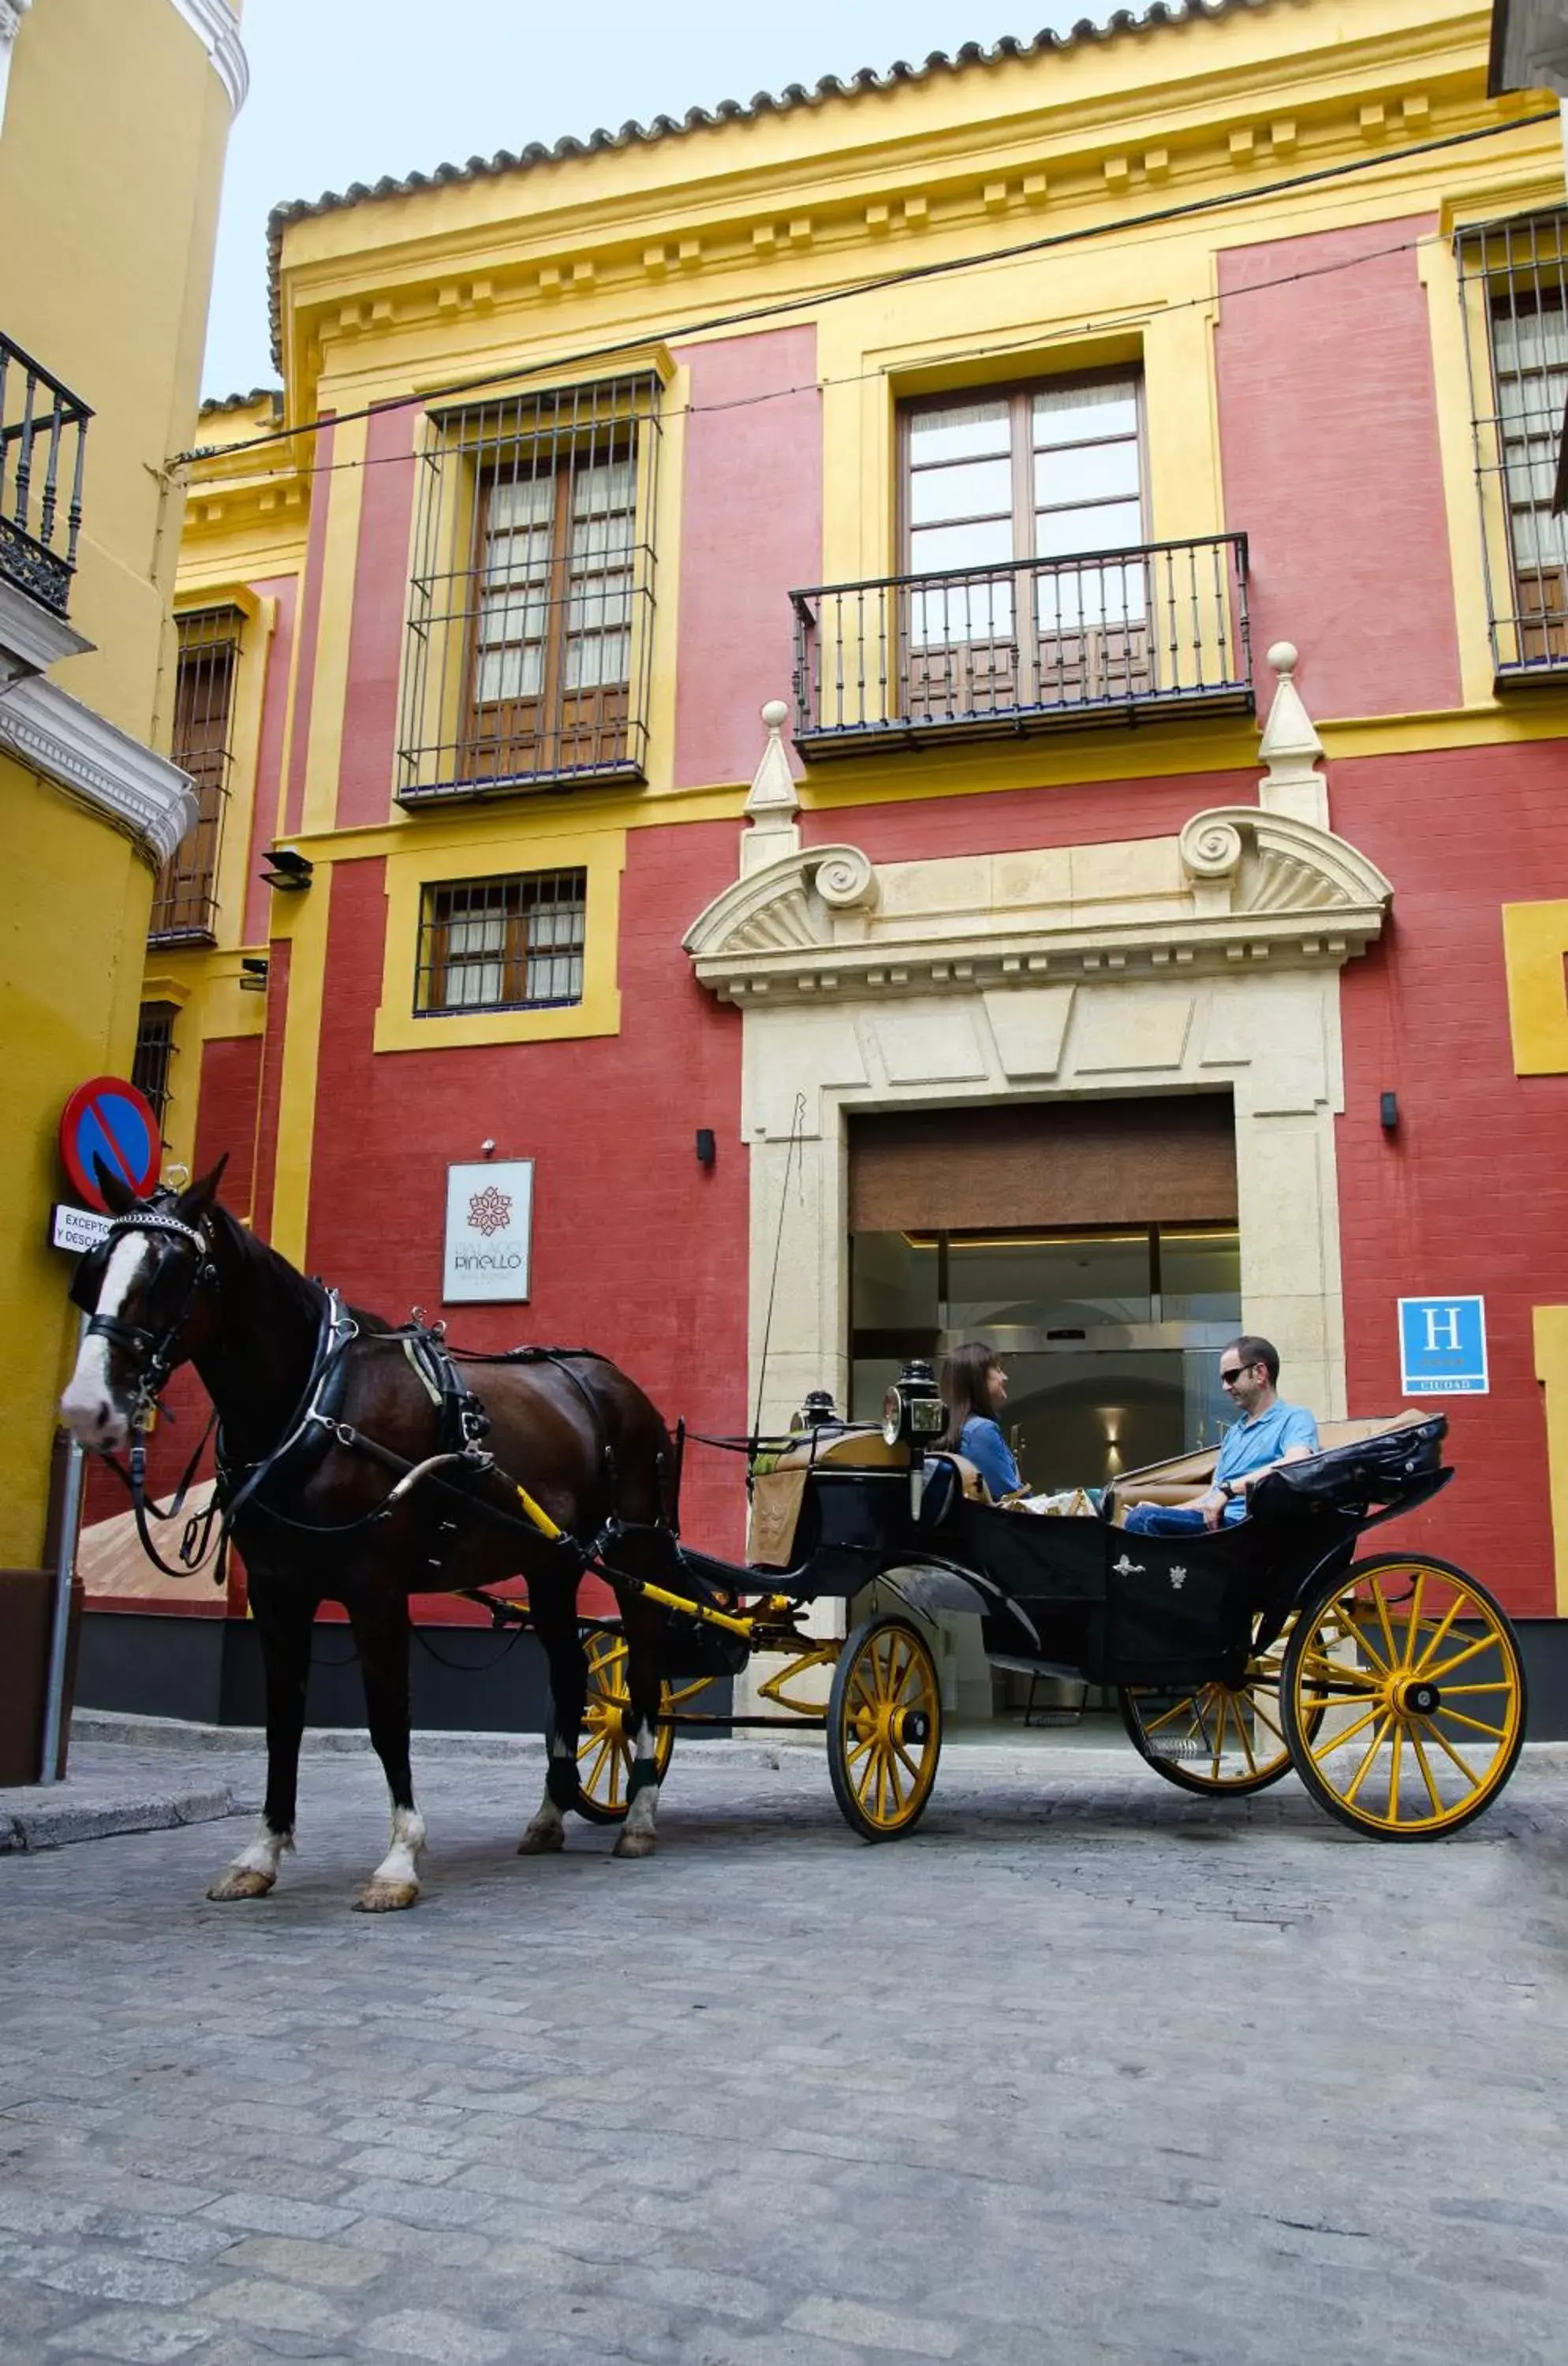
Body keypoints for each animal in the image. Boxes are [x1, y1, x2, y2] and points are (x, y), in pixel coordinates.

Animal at [56, 1155, 681, 1912]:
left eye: (171, 1274)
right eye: (93, 1270)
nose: (86, 1407)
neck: (318, 1403)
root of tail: (620, 1385)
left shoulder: (375, 1589)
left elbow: (387, 1717)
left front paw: (399, 1860)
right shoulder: (276, 1593)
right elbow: (282, 1722)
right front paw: (261, 1852)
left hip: (635, 1555)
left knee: (643, 1677)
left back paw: (640, 1816)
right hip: (551, 1565)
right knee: (567, 1677)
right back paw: (550, 1814)